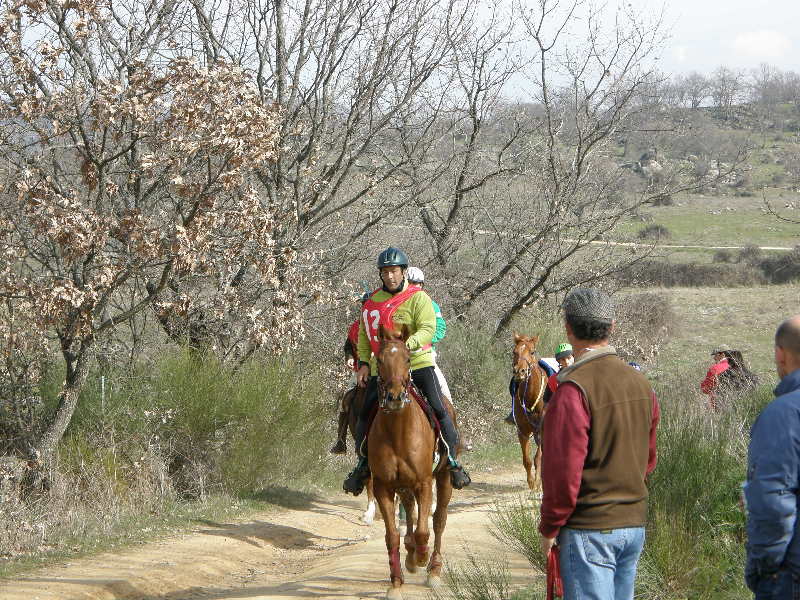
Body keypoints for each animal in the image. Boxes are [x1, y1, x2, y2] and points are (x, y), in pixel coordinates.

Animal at [368, 326, 456, 596]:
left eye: (408, 358)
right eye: (379, 360)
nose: (395, 397)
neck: (398, 431)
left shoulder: (424, 483)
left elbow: (424, 530)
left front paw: (422, 557)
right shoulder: (383, 487)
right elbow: (392, 536)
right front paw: (396, 583)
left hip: (444, 477)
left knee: (439, 520)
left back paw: (433, 568)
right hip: (402, 486)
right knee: (410, 510)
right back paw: (410, 556)